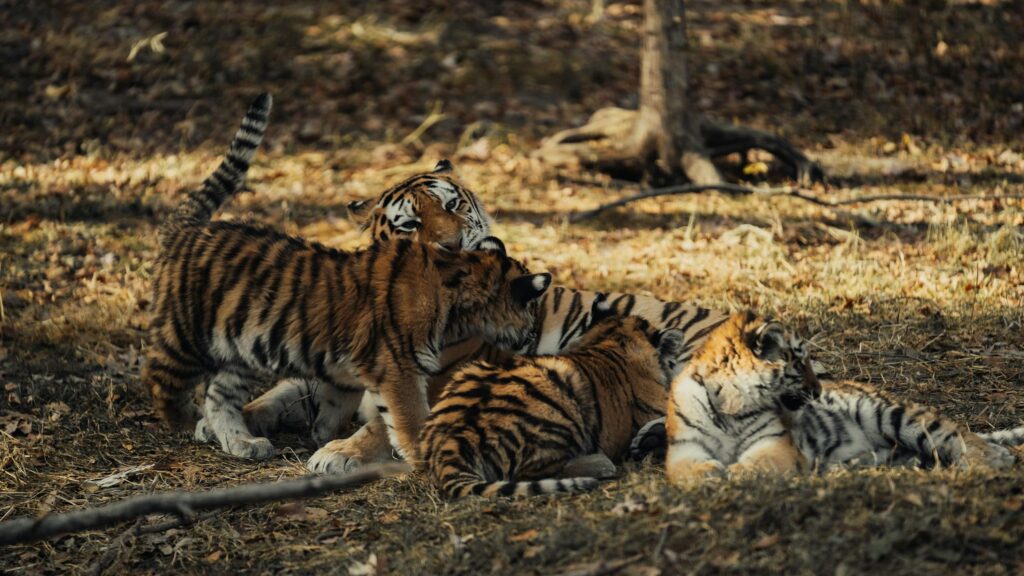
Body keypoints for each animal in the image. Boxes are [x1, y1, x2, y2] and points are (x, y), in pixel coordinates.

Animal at [143, 93, 553, 463]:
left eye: (453, 205)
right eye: (410, 225)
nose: (452, 245)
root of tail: (185, 229)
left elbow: (386, 424)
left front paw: (338, 451)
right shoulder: (321, 370)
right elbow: (273, 398)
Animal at [664, 311, 1021, 484]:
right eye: (799, 362)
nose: (820, 390)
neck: (732, 404)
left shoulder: (774, 443)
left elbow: (760, 462)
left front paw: (736, 473)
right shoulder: (684, 448)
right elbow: (685, 471)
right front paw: (710, 474)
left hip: (892, 414)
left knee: (958, 434)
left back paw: (988, 461)